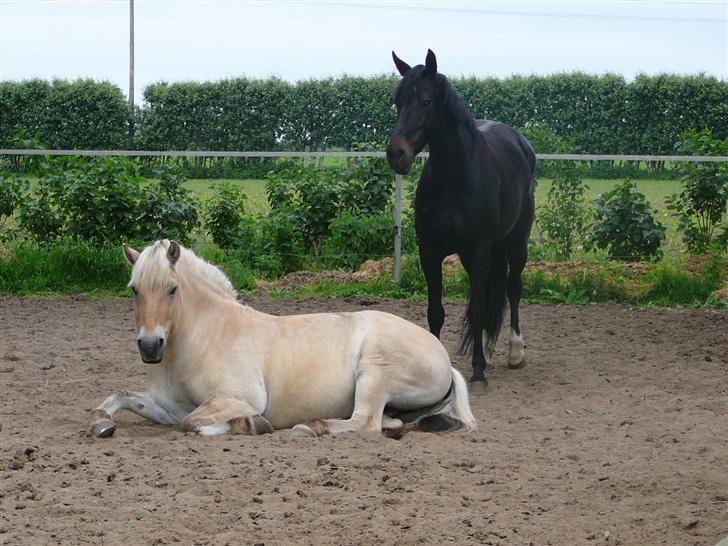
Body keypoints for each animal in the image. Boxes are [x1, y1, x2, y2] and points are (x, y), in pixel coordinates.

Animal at [89, 240, 478, 436]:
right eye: (134, 290)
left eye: (171, 289)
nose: (150, 346)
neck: (202, 337)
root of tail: (443, 357)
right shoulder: (170, 406)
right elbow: (122, 396)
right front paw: (101, 423)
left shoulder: (240, 397)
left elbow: (194, 424)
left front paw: (250, 425)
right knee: (386, 422)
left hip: (374, 373)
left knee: (365, 423)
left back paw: (309, 427)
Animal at [386, 47, 536, 386]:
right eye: (398, 101)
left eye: (426, 101)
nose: (396, 154)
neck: (454, 179)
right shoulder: (430, 251)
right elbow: (435, 311)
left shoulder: (478, 250)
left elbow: (478, 309)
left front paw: (478, 371)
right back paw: (489, 349)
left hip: (516, 241)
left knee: (513, 286)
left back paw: (514, 352)